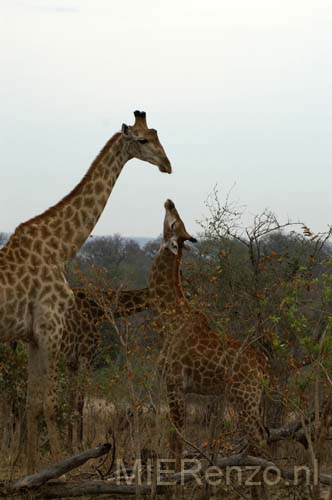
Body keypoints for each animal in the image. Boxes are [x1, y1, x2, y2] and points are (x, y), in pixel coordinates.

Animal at [0, 110, 171, 472]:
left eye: (157, 133)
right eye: (143, 140)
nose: (167, 164)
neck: (60, 247)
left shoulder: (33, 337)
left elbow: (33, 405)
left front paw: (32, 469)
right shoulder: (51, 331)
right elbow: (52, 406)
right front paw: (59, 467)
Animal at [148, 200, 270, 464]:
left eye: (173, 224)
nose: (169, 201)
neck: (170, 320)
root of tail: (264, 364)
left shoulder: (174, 383)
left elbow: (176, 439)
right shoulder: (179, 388)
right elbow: (175, 437)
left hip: (245, 396)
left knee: (258, 439)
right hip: (253, 399)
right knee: (263, 435)